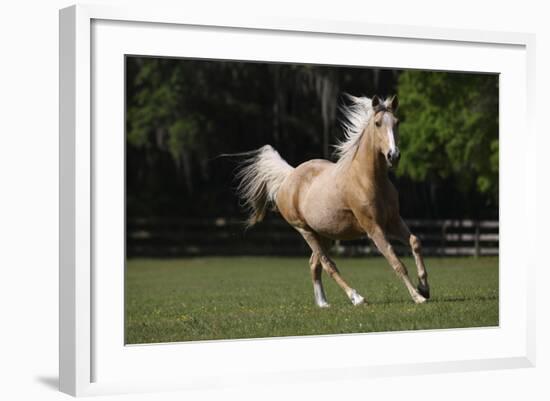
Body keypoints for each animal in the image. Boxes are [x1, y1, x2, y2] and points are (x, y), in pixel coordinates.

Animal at [233, 94, 432, 306]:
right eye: (377, 123)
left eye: (397, 122)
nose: (393, 155)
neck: (368, 179)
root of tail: (289, 176)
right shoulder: (373, 228)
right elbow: (395, 261)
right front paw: (418, 297)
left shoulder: (393, 221)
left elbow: (415, 241)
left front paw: (424, 288)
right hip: (305, 231)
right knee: (328, 264)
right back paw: (356, 297)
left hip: (325, 233)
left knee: (315, 264)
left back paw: (323, 303)